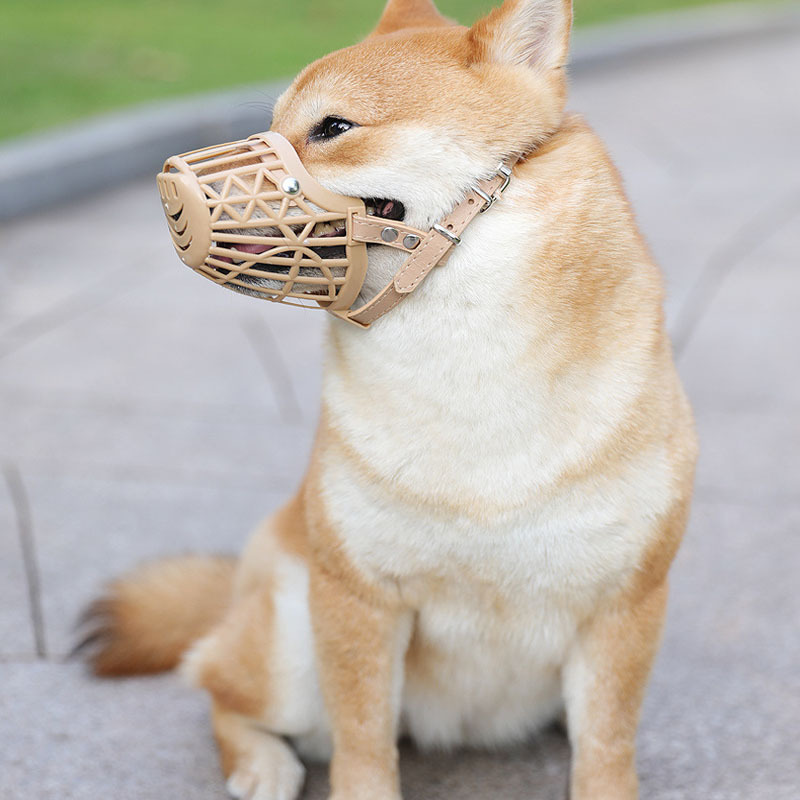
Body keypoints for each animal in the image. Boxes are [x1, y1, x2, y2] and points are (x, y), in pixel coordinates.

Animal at [78, 1, 696, 800]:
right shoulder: (358, 597)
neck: (473, 380)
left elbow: (608, 749)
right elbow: (364, 746)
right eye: (277, 122)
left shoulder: (626, 601)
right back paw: (262, 764)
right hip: (292, 650)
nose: (169, 190)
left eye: (333, 127)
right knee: (216, 683)